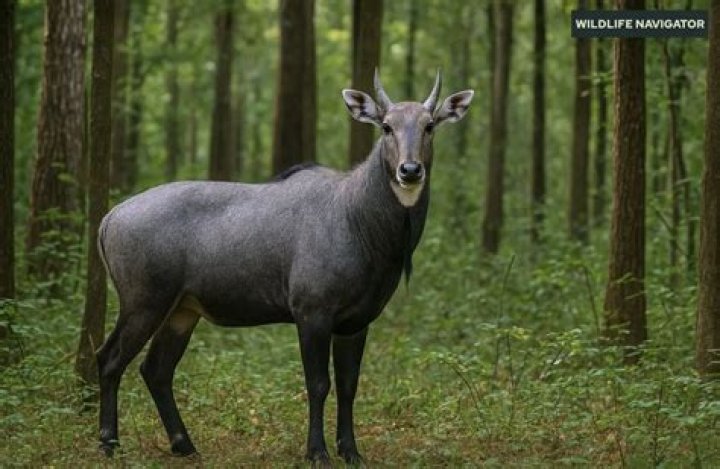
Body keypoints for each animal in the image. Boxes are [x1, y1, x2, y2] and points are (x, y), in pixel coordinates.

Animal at [95, 69, 473, 465]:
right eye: (386, 126)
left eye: (429, 125)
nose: (410, 170)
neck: (362, 224)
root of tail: (108, 219)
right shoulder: (311, 311)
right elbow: (318, 384)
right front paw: (317, 452)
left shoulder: (356, 321)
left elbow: (349, 385)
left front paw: (351, 452)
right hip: (144, 301)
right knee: (109, 358)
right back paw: (109, 442)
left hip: (183, 309)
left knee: (156, 369)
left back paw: (184, 445)